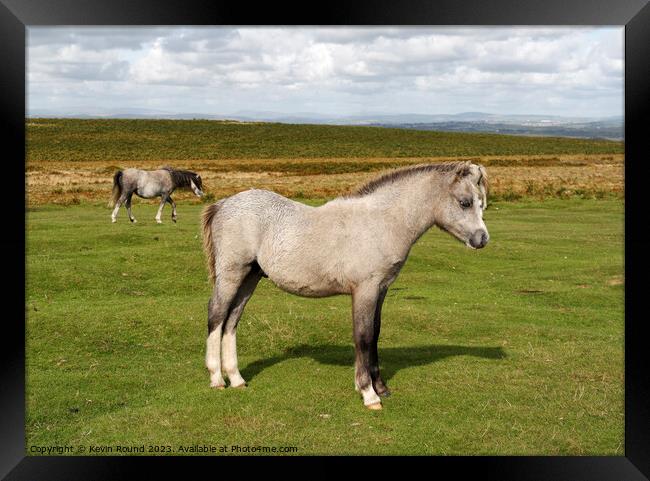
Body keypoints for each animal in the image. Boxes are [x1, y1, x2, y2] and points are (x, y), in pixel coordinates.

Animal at [200, 161, 488, 408]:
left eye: (482, 204)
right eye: (464, 202)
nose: (482, 239)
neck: (380, 222)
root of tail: (224, 204)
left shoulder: (381, 289)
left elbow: (375, 334)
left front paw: (381, 387)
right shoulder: (364, 290)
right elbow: (363, 336)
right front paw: (369, 393)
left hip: (250, 277)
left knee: (232, 320)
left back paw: (237, 378)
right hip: (232, 274)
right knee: (217, 315)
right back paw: (217, 378)